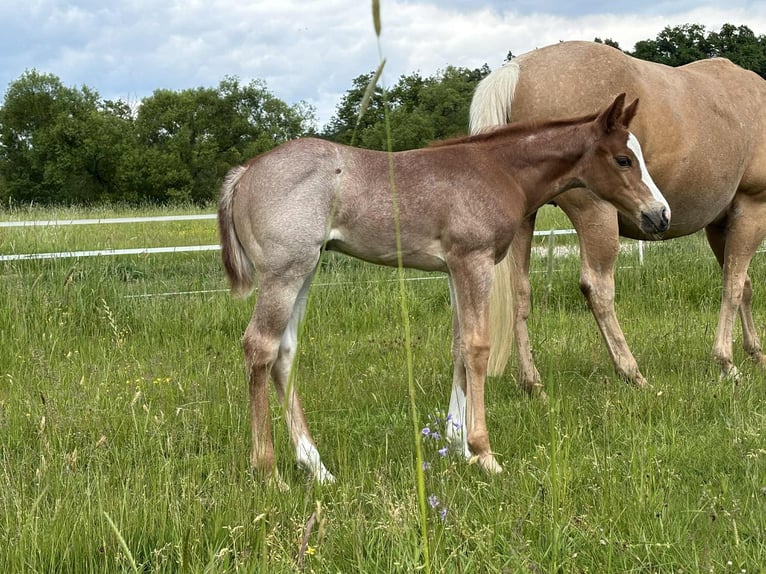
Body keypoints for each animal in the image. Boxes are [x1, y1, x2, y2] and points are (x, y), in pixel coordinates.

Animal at [217, 94, 670, 483]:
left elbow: (457, 346)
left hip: (306, 269)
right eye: (624, 159)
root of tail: (244, 174)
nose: (660, 215)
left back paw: (317, 468)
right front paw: (483, 452)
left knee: (284, 353)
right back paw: (269, 471)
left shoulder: (454, 268)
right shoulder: (474, 261)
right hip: (285, 272)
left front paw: (457, 444)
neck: (498, 169)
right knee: (259, 347)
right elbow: (477, 347)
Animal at [471, 41, 766, 394]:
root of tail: (515, 72)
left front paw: (755, 353)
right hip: (595, 214)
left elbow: (743, 285)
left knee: (519, 292)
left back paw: (533, 384)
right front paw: (727, 363)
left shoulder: (720, 225)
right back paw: (631, 372)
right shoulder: (752, 209)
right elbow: (733, 286)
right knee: (597, 288)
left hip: (524, 221)